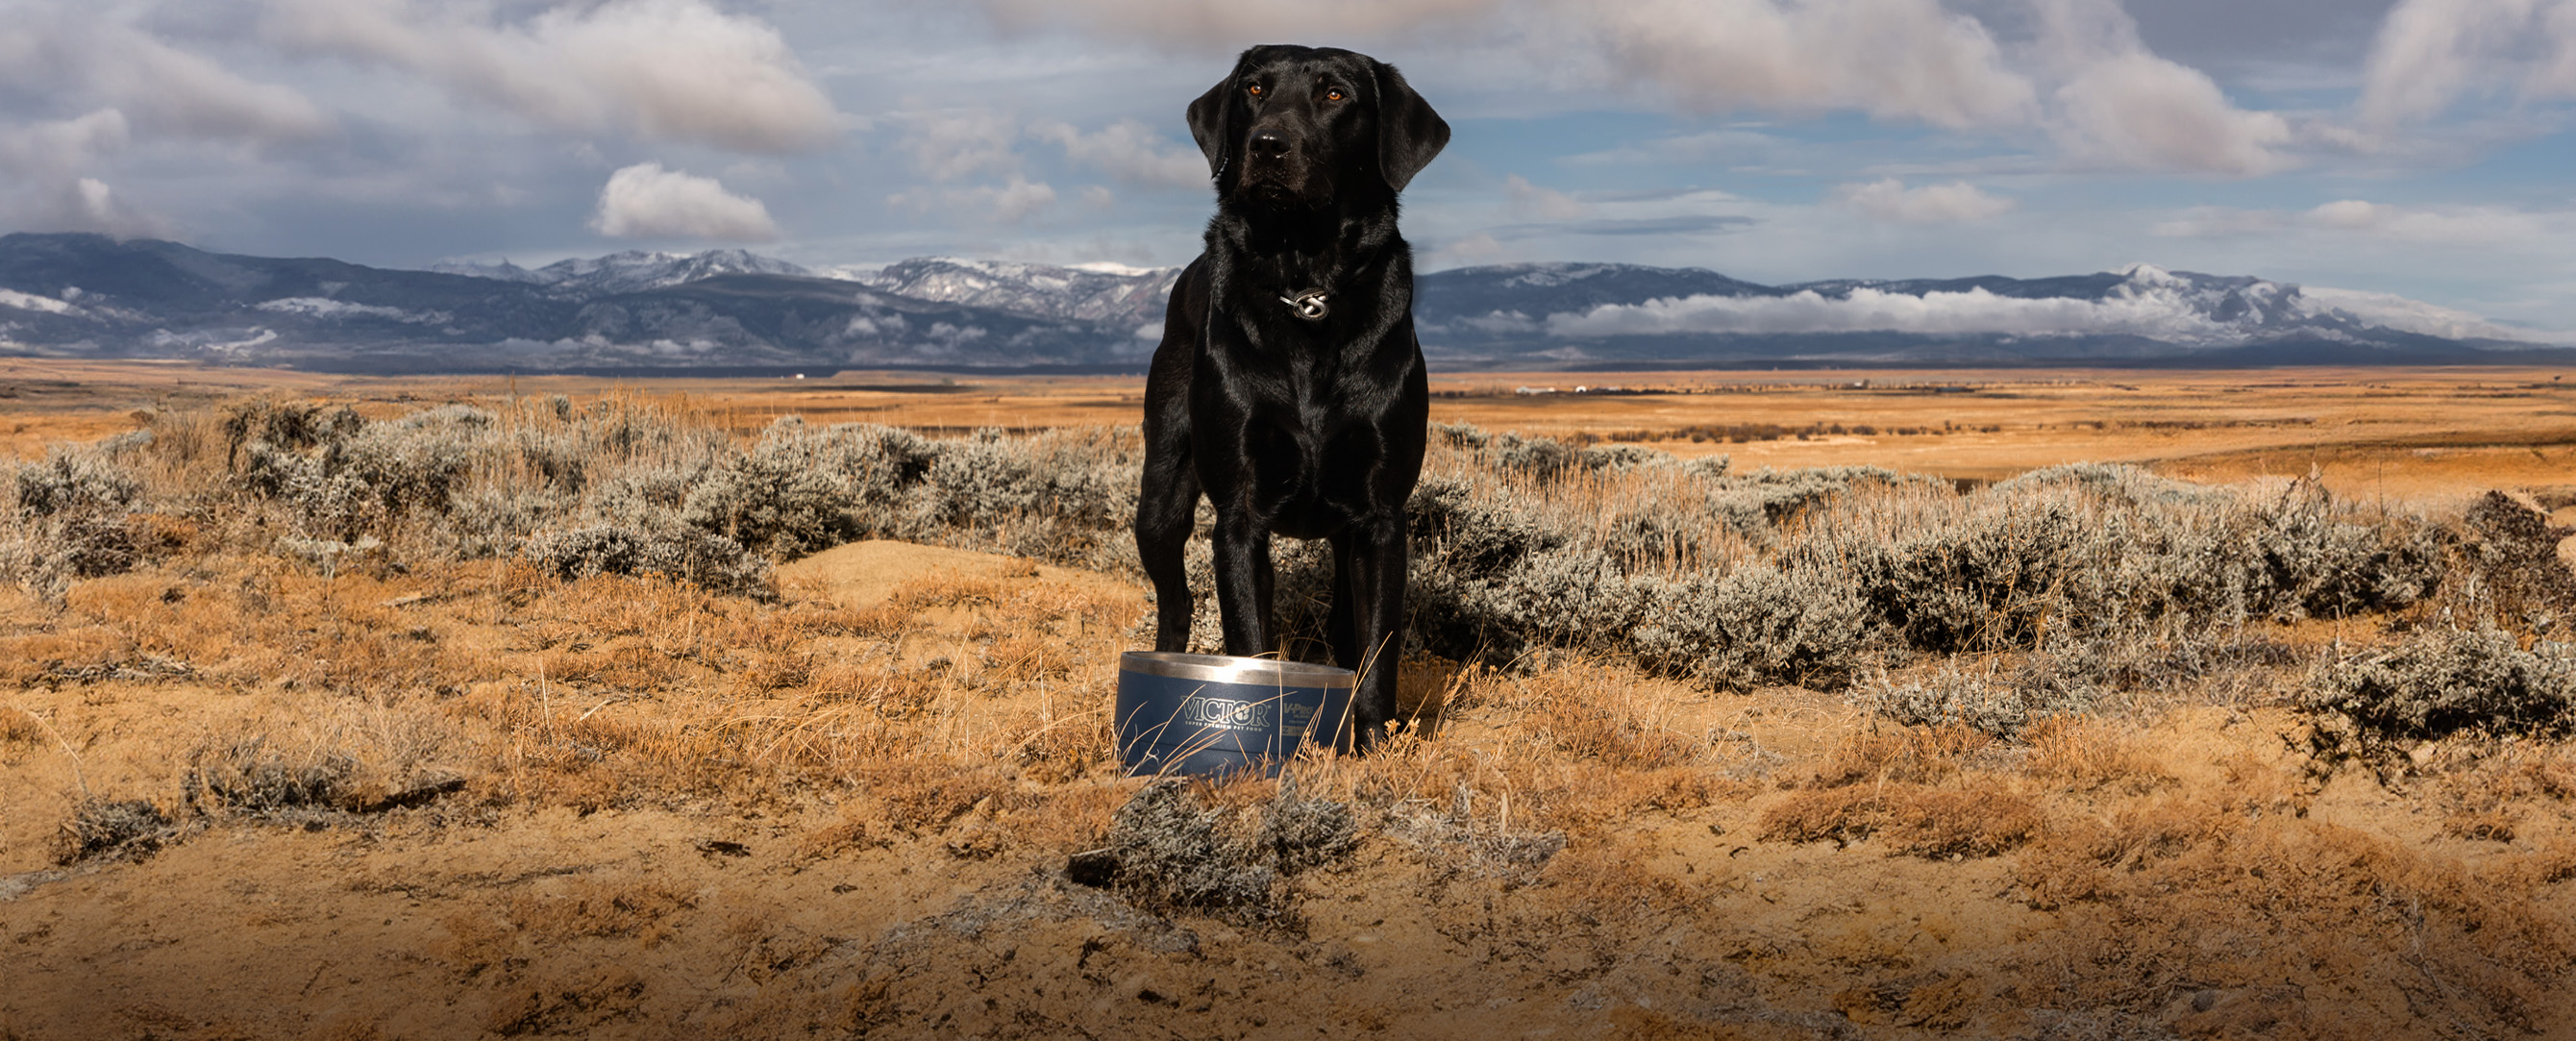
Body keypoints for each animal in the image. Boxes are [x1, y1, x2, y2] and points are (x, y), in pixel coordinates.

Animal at [1133, 44, 1442, 752]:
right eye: (1253, 89)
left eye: (1334, 95)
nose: (1268, 145)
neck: (1305, 289)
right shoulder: (1240, 517)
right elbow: (1250, 639)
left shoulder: (1381, 519)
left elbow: (1379, 645)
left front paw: (1374, 738)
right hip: (1160, 497)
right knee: (1175, 603)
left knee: (1346, 626)